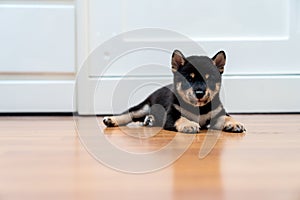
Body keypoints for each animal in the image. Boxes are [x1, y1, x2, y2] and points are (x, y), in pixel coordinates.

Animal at [103, 49, 246, 133]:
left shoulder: (218, 113)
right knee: (129, 114)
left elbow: (227, 117)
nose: (200, 93)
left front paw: (234, 123)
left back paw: (150, 120)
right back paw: (111, 120)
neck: (199, 108)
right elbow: (181, 118)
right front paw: (189, 125)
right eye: (189, 78)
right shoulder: (171, 115)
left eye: (209, 79)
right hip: (143, 107)